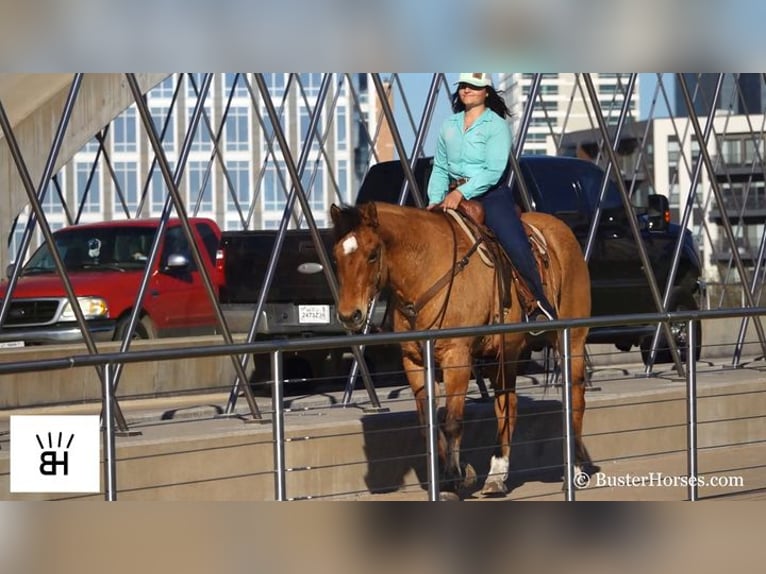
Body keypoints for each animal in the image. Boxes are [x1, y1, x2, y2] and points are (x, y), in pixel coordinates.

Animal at [332, 202, 592, 500]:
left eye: (373, 254)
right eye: (335, 257)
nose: (349, 315)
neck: (426, 270)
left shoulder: (457, 357)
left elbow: (452, 421)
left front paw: (452, 481)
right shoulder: (414, 361)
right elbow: (427, 421)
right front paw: (459, 474)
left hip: (572, 341)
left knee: (575, 399)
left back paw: (574, 471)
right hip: (505, 353)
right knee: (507, 405)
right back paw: (496, 476)